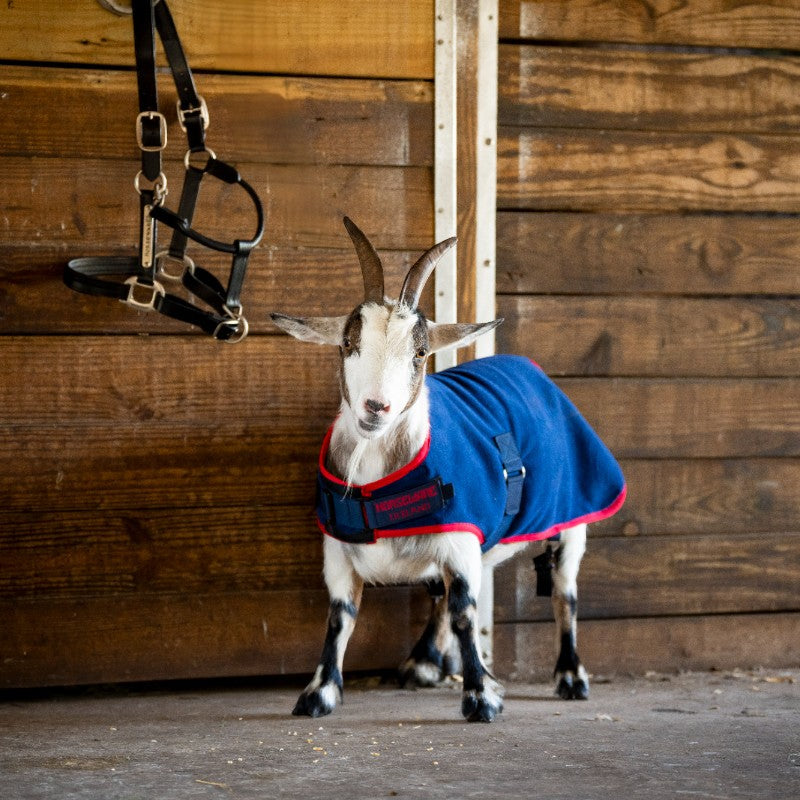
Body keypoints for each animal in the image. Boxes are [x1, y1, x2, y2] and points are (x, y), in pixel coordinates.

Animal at [271, 218, 626, 722]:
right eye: (347, 344)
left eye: (420, 354)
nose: (375, 407)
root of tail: (528, 368)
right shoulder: (339, 549)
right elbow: (340, 617)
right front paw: (319, 693)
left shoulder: (461, 536)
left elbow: (464, 612)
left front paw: (481, 697)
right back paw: (422, 662)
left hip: (574, 510)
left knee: (564, 591)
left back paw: (571, 676)